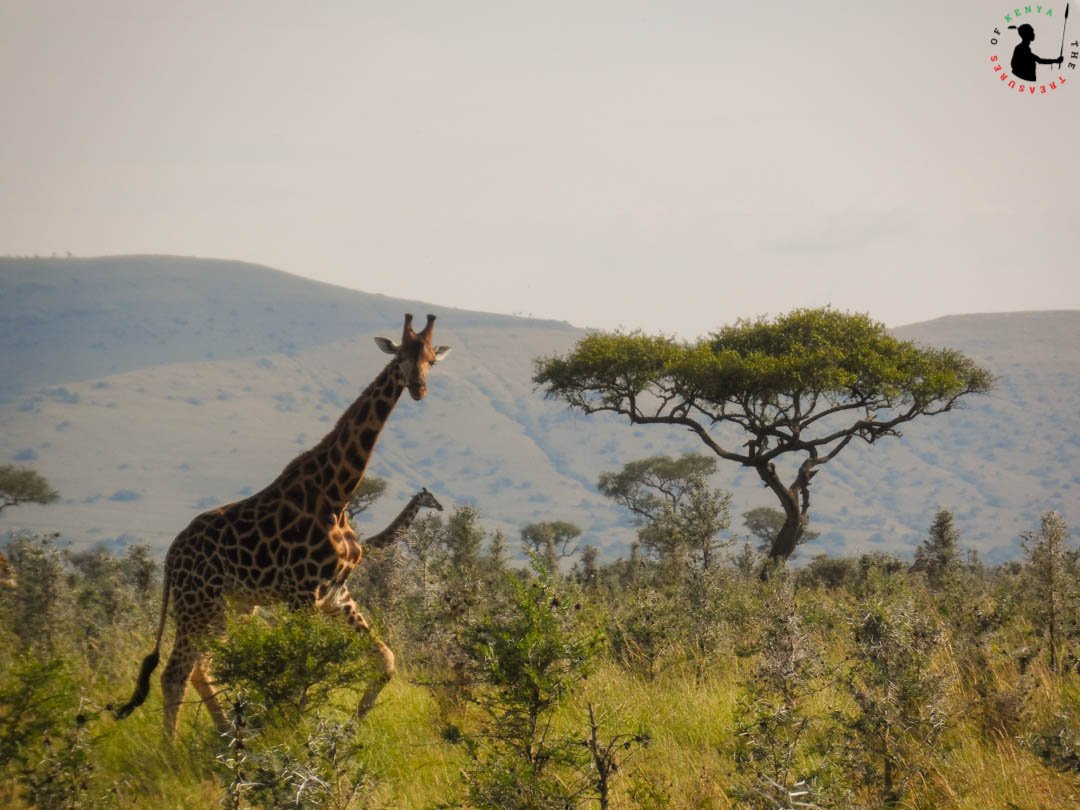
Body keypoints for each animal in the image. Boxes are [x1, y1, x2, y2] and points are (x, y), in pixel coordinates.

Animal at [117, 313, 451, 734]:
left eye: (431, 361)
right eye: (400, 357)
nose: (419, 389)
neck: (337, 494)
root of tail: (170, 558)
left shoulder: (336, 595)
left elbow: (386, 660)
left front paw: (354, 724)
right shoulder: (301, 595)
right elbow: (299, 672)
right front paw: (291, 733)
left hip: (226, 605)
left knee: (196, 667)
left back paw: (226, 731)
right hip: (199, 602)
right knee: (176, 672)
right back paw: (178, 746)